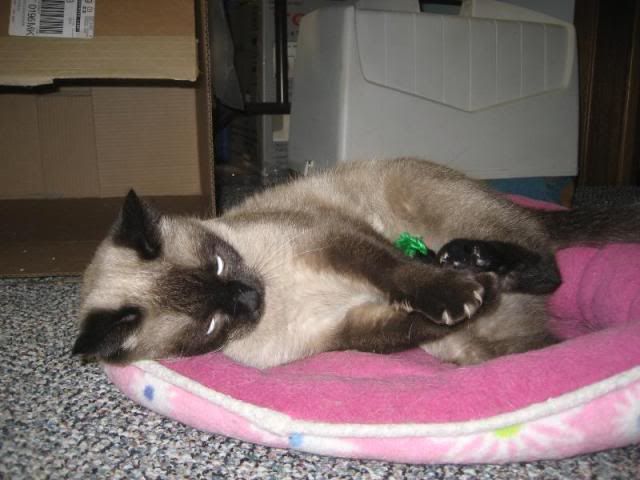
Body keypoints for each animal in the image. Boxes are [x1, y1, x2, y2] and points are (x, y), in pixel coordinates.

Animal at [72, 157, 640, 368]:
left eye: (216, 264)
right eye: (211, 324)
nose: (252, 296)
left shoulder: (332, 239)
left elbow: (398, 272)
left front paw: (456, 290)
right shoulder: (343, 331)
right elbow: (404, 328)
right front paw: (471, 297)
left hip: (427, 196)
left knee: (546, 262)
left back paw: (474, 257)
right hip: (463, 351)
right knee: (536, 334)